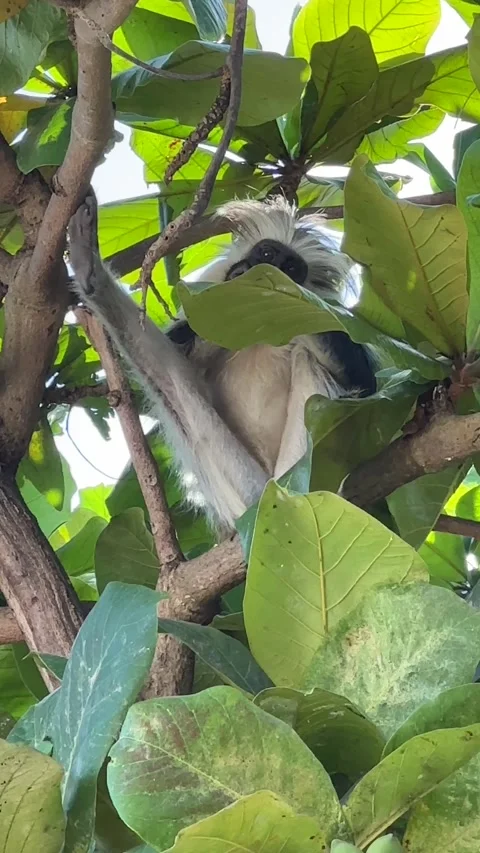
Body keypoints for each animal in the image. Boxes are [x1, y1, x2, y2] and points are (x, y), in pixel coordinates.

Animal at [68, 195, 376, 536]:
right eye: (266, 253)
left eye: (292, 268)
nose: (264, 271)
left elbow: (363, 382)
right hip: (234, 479)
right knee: (171, 378)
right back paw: (90, 273)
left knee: (307, 363)